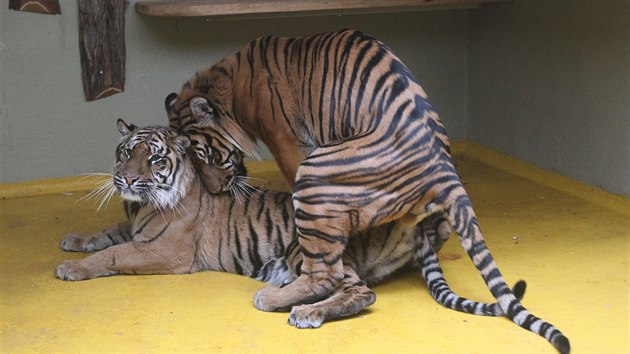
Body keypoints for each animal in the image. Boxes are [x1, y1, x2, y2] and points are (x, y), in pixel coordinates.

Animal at [54, 121, 520, 330]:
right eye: (125, 153)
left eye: (153, 158)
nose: (128, 179)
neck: (141, 205)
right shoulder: (134, 227)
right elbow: (106, 235)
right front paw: (73, 241)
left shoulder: (164, 251)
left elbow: (114, 254)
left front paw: (71, 269)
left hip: (304, 245)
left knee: (352, 289)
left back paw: (286, 305)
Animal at [168, 29, 572, 352]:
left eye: (207, 155)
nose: (214, 191)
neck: (231, 84)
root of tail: (440, 163)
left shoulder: (286, 142)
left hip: (317, 172)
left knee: (324, 273)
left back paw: (277, 298)